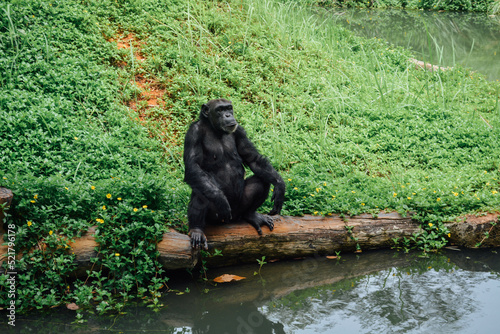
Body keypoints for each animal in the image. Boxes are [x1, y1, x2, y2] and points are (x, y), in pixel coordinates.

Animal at [184, 98, 286, 249]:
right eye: (220, 110)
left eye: (228, 108)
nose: (228, 115)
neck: (215, 129)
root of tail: (232, 220)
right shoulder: (193, 133)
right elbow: (193, 166)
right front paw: (220, 198)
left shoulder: (240, 132)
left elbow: (253, 159)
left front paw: (280, 186)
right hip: (216, 217)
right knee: (202, 190)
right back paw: (197, 231)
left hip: (239, 209)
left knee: (261, 180)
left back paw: (251, 215)